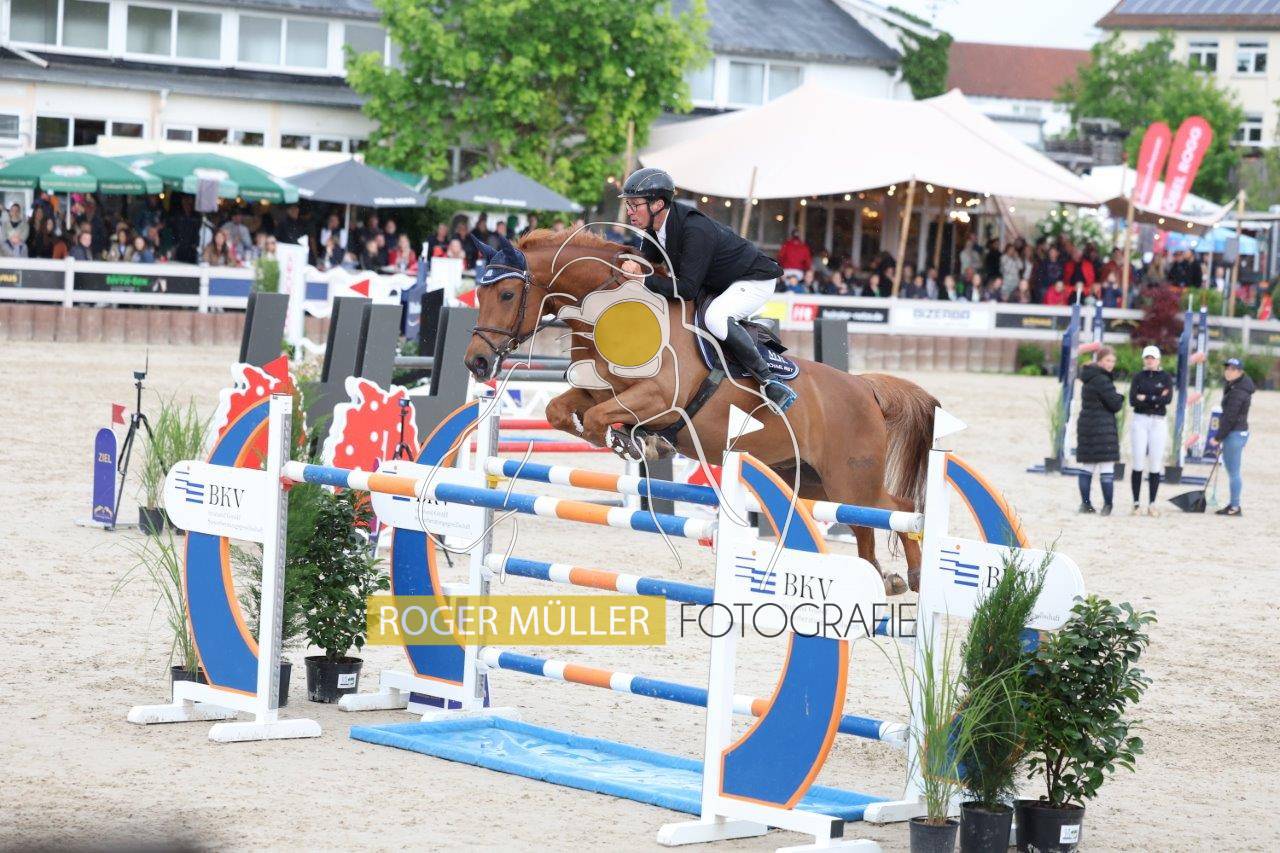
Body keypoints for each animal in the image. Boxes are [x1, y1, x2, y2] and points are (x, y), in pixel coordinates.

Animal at [462, 229, 938, 594]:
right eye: (480, 291)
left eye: (507, 293)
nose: (477, 363)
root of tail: (865, 388)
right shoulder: (594, 391)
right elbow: (561, 411)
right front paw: (636, 440)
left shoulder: (658, 396)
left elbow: (599, 420)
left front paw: (638, 444)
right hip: (809, 480)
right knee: (865, 525)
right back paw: (881, 578)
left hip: (850, 479)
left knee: (895, 508)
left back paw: (913, 576)